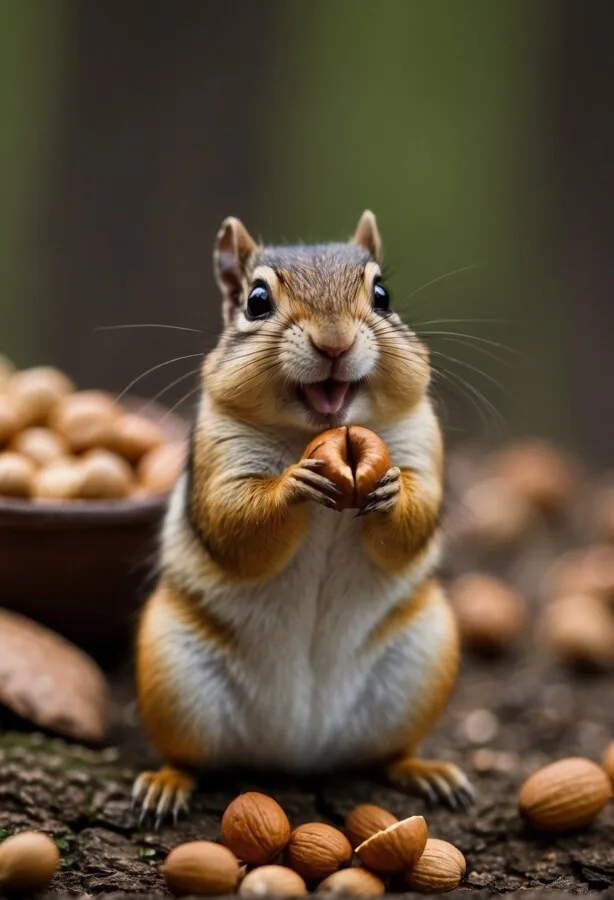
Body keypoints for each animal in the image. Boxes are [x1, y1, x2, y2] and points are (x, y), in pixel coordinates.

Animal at [132, 211, 473, 825]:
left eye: (383, 294)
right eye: (256, 301)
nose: (334, 341)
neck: (309, 433)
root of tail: (297, 747)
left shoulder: (421, 443)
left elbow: (417, 517)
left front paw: (391, 490)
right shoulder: (220, 456)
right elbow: (235, 526)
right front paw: (294, 484)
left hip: (422, 662)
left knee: (390, 753)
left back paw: (426, 771)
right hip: (172, 675)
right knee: (187, 757)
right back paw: (166, 784)